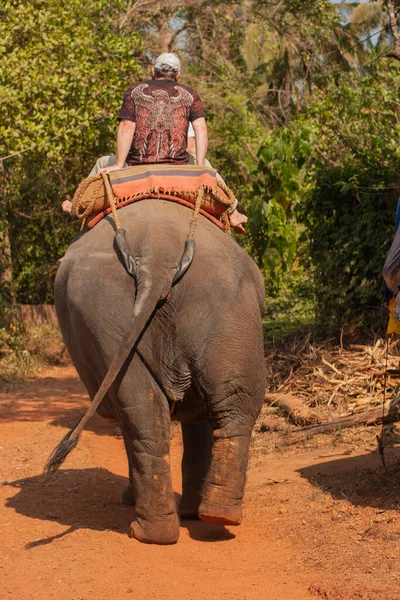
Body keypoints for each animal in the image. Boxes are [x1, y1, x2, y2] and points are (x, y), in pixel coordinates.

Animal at [47, 198, 266, 544]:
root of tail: (157, 255)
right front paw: (188, 512)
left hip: (104, 313)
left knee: (143, 413)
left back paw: (150, 531)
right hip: (230, 308)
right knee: (232, 403)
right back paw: (214, 517)